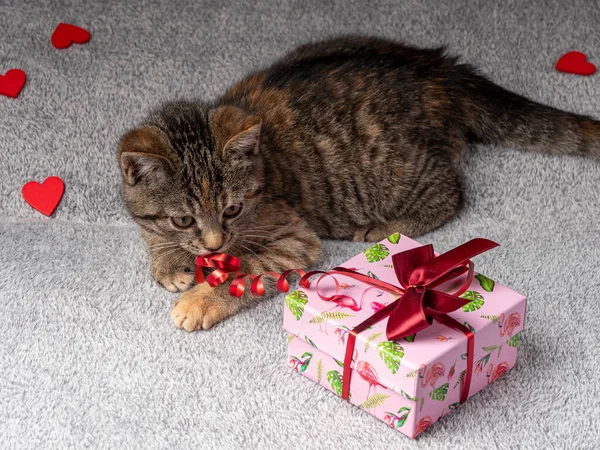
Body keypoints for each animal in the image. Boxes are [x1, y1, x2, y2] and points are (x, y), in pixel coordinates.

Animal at [117, 34, 600, 330]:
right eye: (183, 219)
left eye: (232, 210)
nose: (216, 244)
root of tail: (439, 69)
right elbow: (150, 232)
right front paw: (168, 259)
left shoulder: (295, 240)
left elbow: (248, 268)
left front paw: (201, 300)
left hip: (395, 170)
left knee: (451, 195)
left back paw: (387, 225)